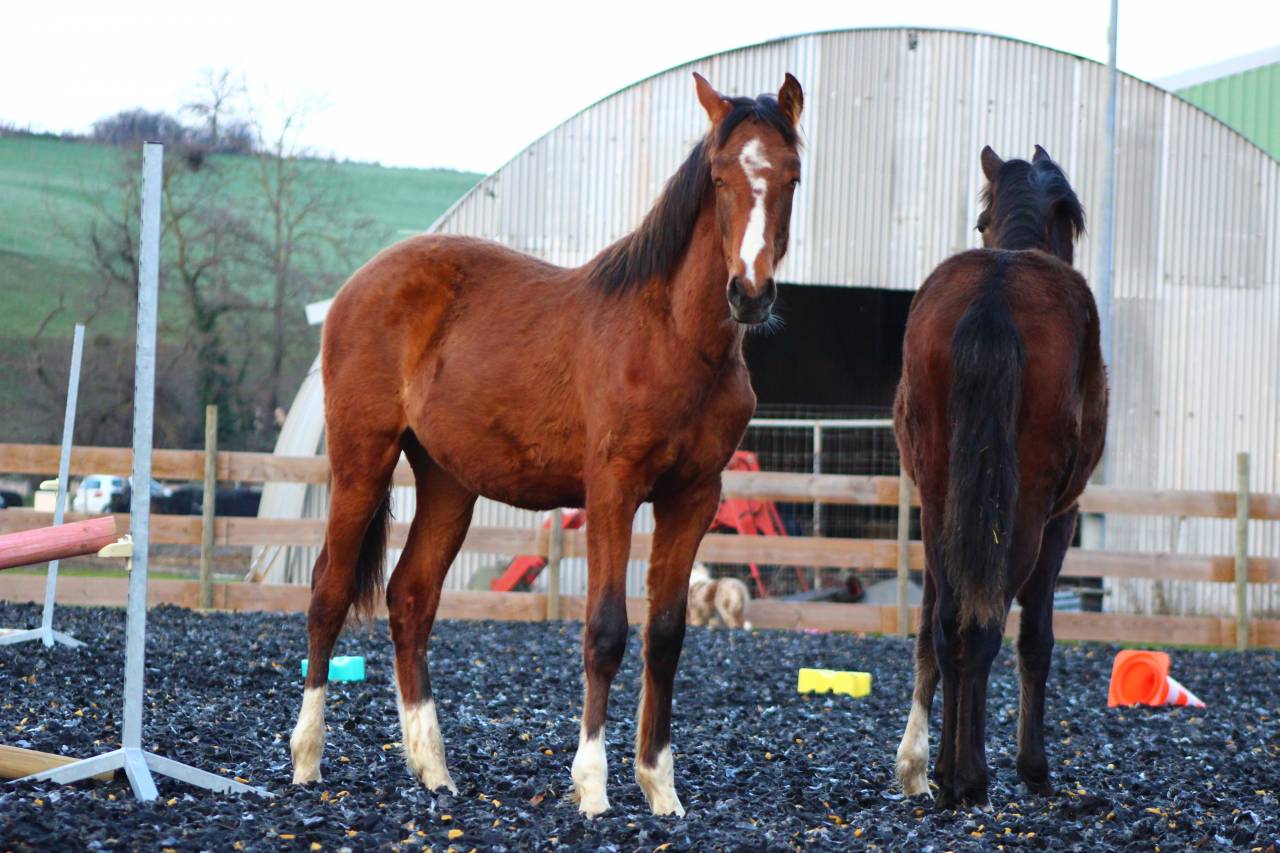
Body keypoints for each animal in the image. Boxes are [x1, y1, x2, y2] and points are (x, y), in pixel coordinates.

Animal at [288, 72, 804, 819]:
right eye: (718, 175)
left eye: (791, 175)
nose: (750, 293)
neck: (673, 336)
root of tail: (360, 284)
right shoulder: (613, 491)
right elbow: (606, 630)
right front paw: (593, 786)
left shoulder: (693, 497)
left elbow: (667, 634)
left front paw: (661, 788)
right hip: (362, 461)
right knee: (328, 591)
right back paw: (307, 758)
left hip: (448, 483)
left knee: (411, 599)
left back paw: (434, 770)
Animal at [892, 145, 1106, 809]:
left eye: (980, 220)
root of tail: (994, 293)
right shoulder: (1063, 518)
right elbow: (1035, 638)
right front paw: (1032, 767)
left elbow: (935, 631)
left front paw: (924, 765)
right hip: (1026, 516)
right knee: (985, 625)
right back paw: (973, 776)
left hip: (942, 501)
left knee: (948, 625)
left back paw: (948, 775)